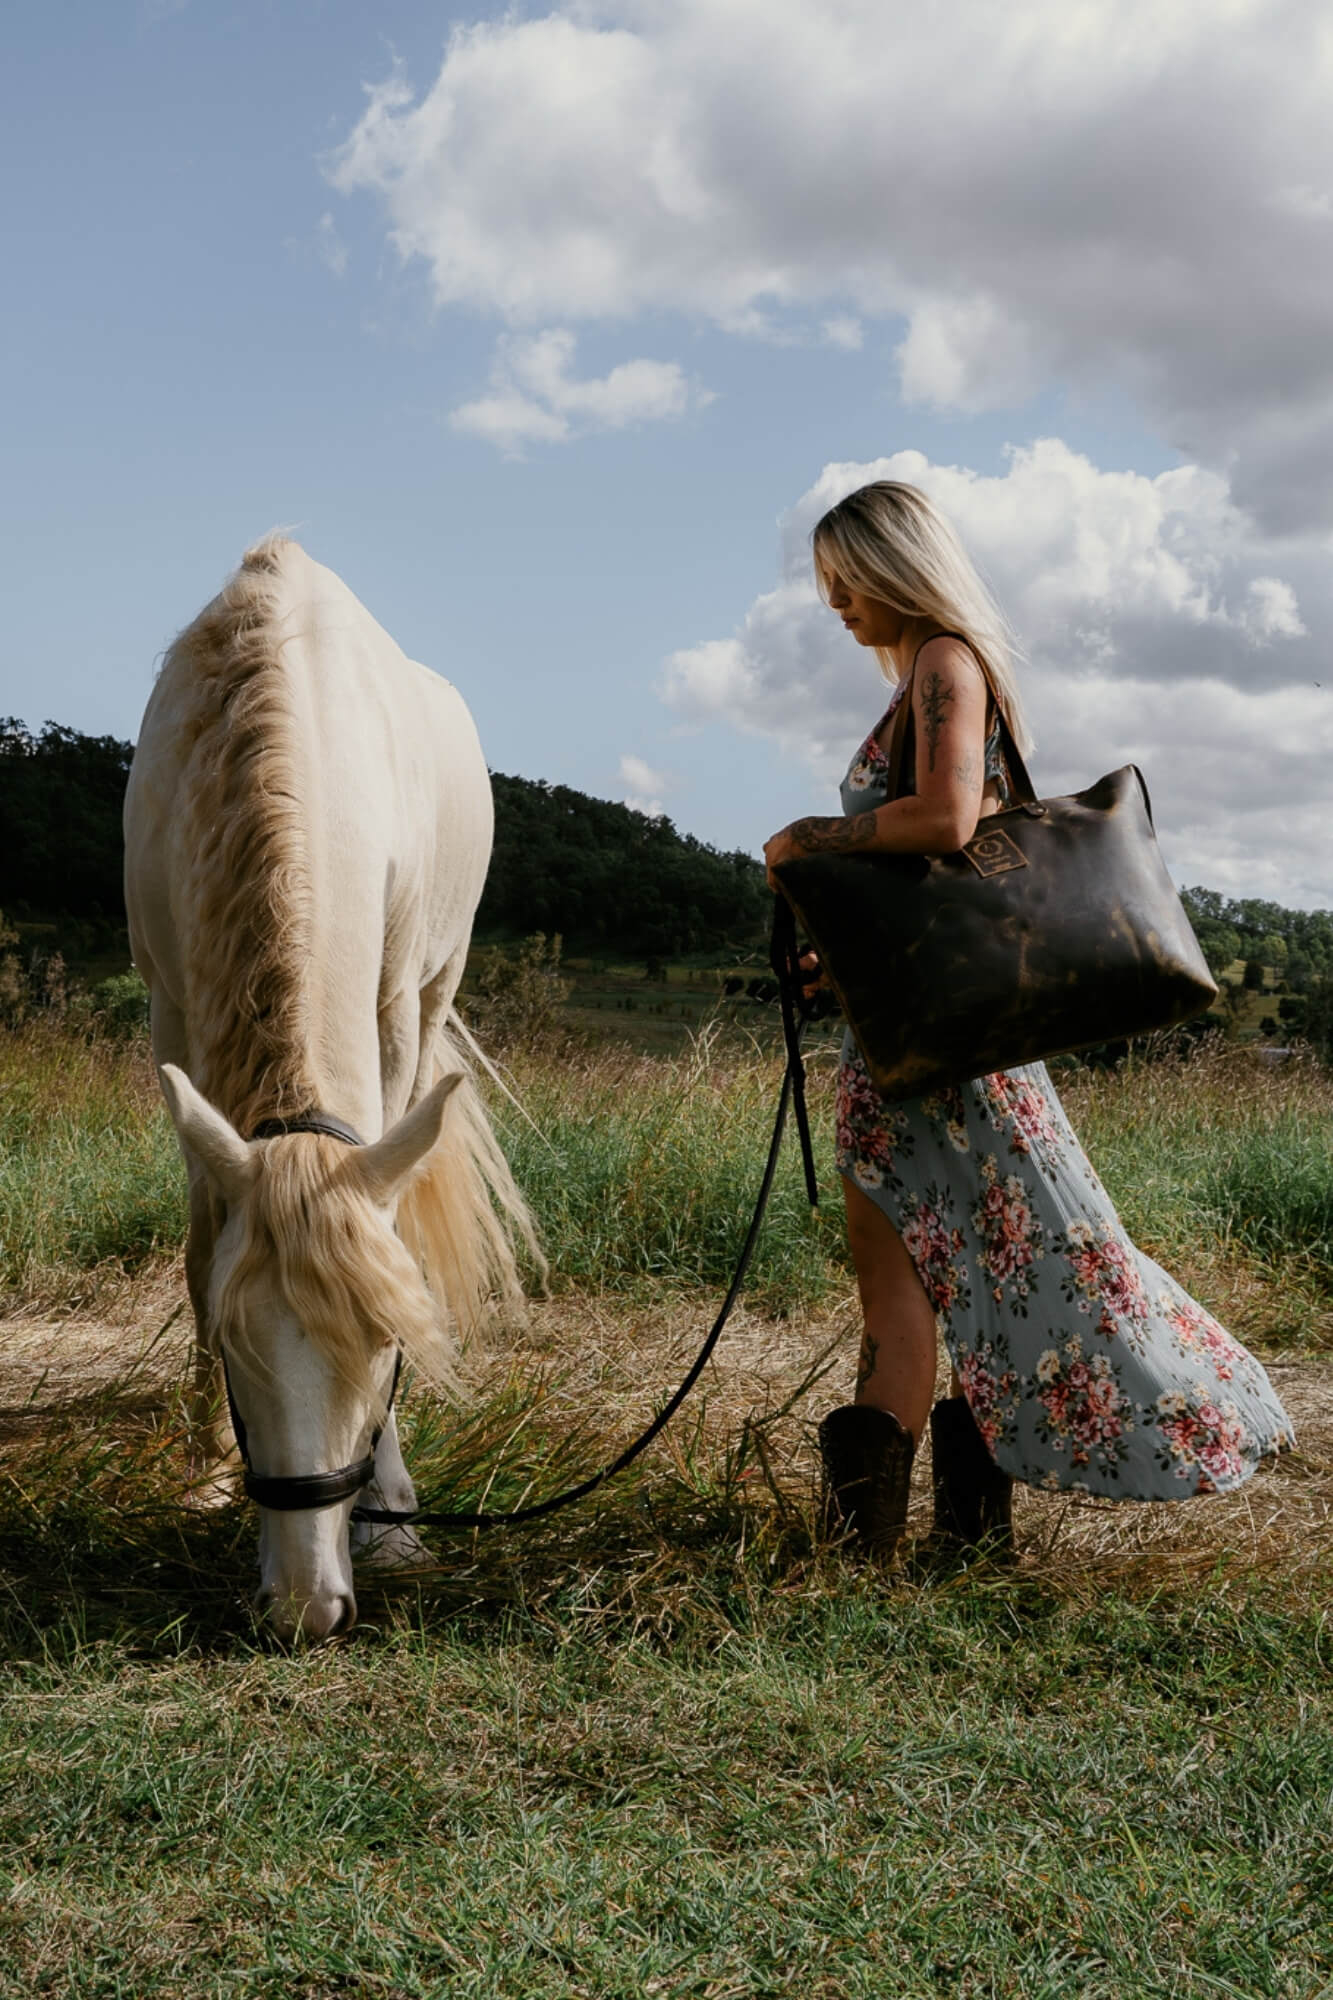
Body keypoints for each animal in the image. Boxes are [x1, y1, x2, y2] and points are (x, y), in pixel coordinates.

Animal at [126, 536, 536, 1640]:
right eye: (232, 1343)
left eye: (387, 1343)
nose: (306, 1607)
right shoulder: (171, 1003)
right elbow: (200, 1239)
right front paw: (206, 1468)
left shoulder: (391, 1009)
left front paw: (391, 1515)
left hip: (435, 992)